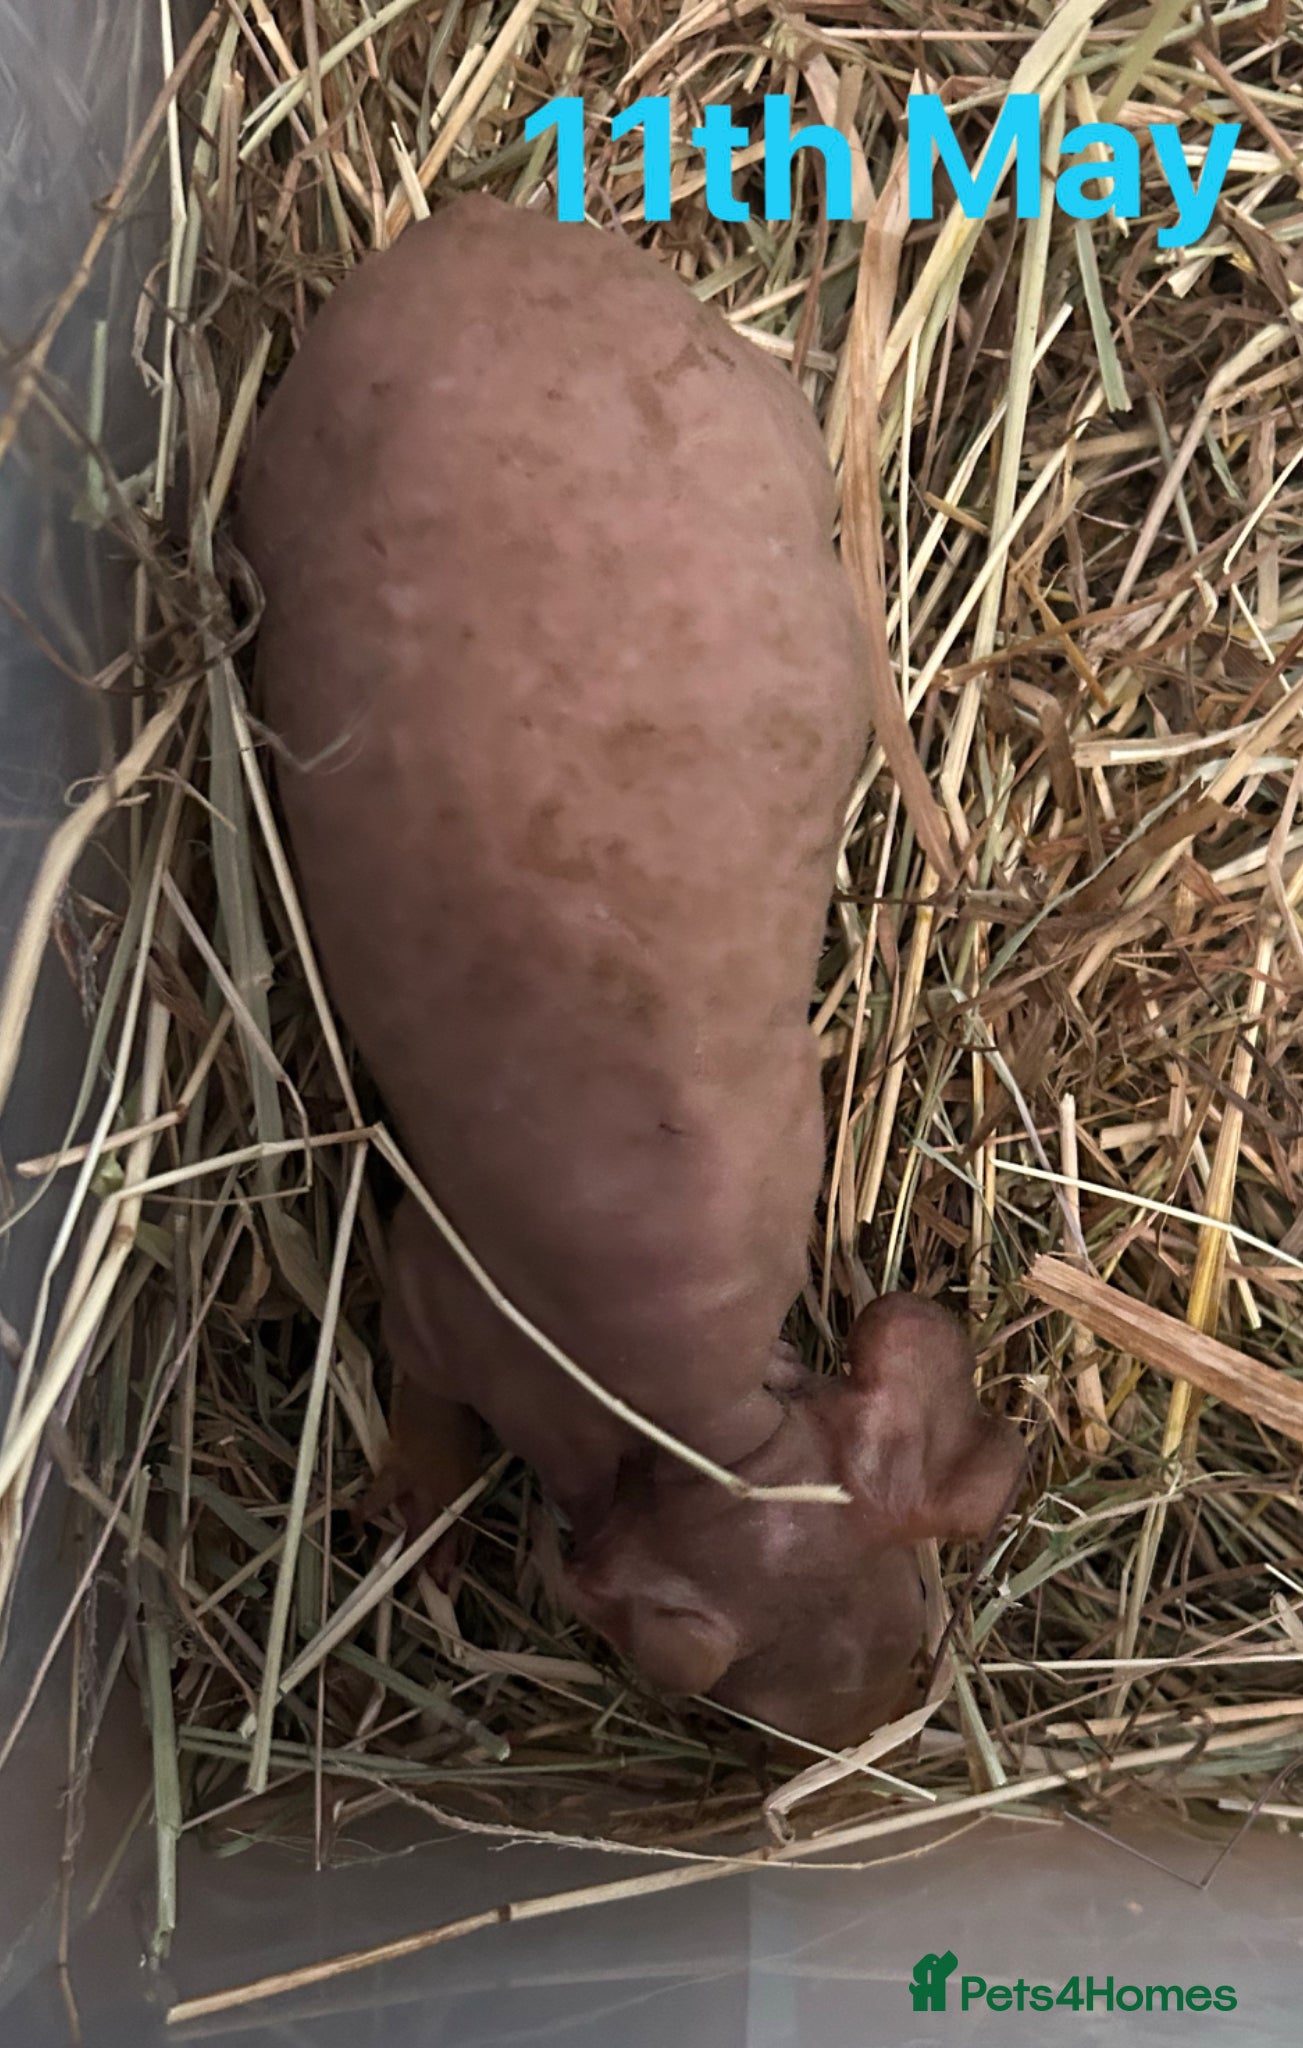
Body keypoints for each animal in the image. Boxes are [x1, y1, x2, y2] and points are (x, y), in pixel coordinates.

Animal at [238, 193, 1023, 1751]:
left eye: (913, 1635)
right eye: (743, 1711)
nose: (862, 1735)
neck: (698, 1413)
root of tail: (482, 217)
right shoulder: (433, 1286)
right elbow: (420, 1405)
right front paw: (402, 1518)